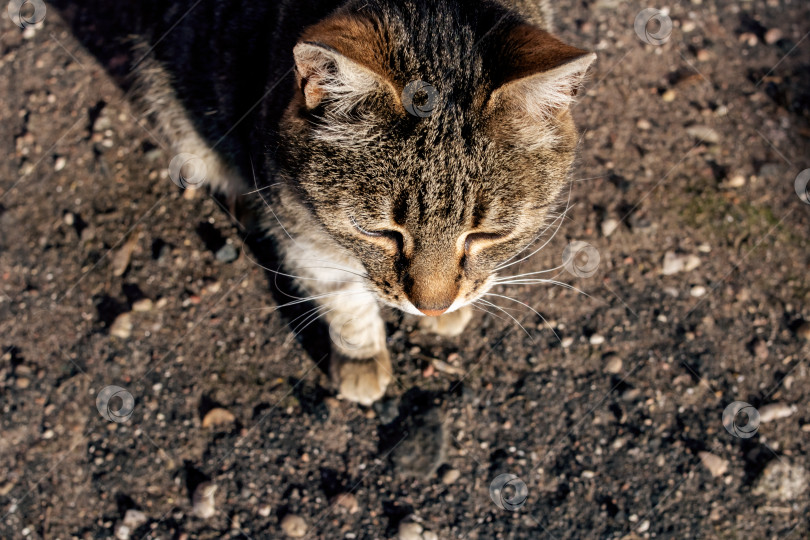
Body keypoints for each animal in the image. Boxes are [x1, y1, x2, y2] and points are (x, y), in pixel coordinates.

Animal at [68, 0, 592, 404]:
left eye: (488, 234)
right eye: (378, 231)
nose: (431, 307)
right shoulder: (302, 230)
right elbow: (344, 298)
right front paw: (361, 356)